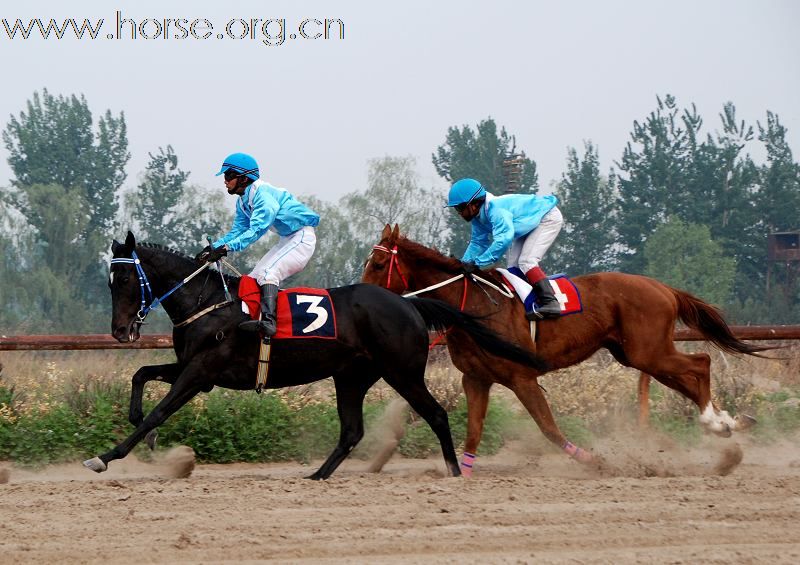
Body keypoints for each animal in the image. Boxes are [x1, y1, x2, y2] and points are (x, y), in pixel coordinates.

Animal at [364, 224, 776, 472]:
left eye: (380, 262)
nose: (361, 292)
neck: (476, 307)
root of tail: (663, 287)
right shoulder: (476, 379)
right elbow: (475, 429)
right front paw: (461, 472)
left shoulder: (522, 377)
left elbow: (548, 427)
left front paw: (593, 461)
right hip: (636, 354)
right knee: (691, 372)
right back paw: (726, 424)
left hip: (648, 351)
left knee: (700, 363)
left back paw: (716, 422)